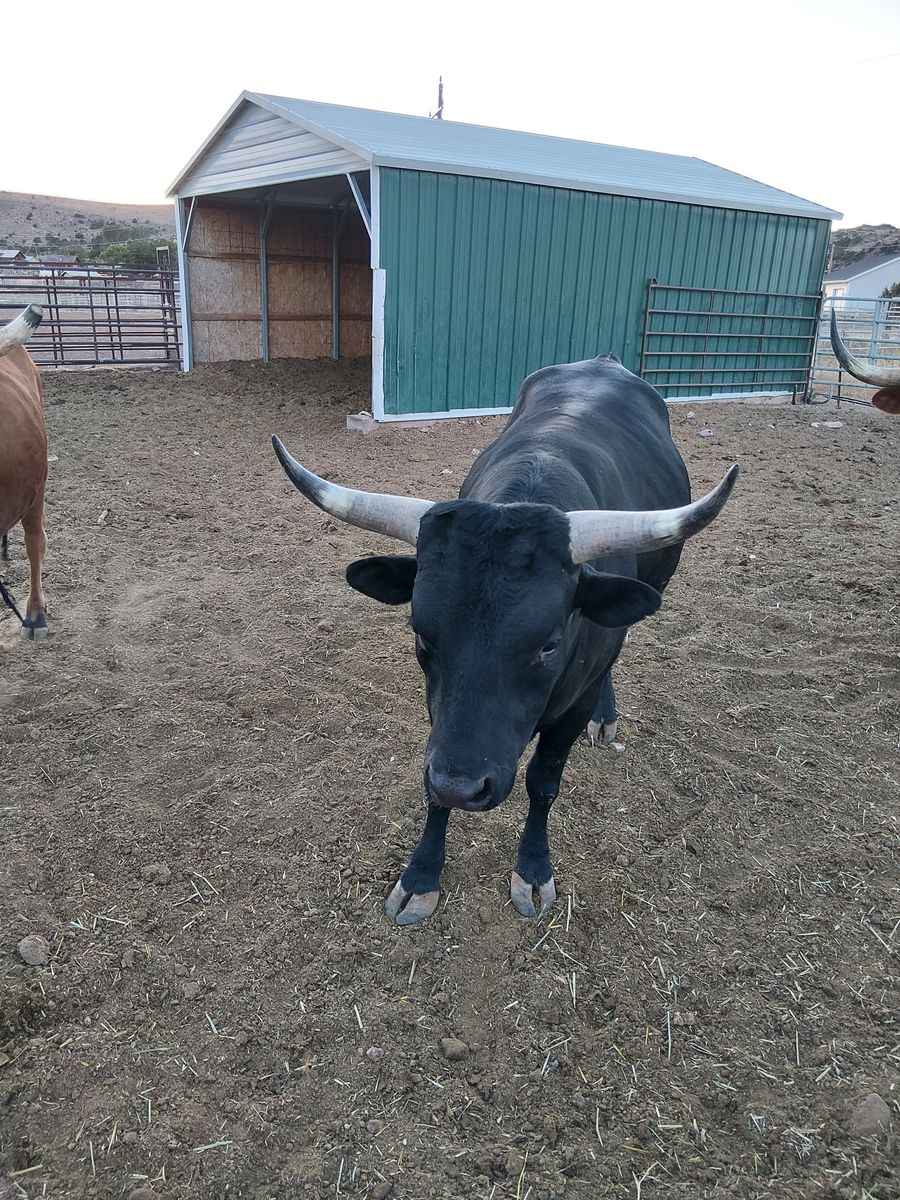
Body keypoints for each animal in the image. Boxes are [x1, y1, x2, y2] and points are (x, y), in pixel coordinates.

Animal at [272, 353, 738, 925]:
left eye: (549, 644)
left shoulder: (569, 707)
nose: (463, 786)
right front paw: (421, 876)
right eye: (421, 635)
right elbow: (432, 783)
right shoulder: (441, 719)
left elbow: (543, 781)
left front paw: (533, 870)